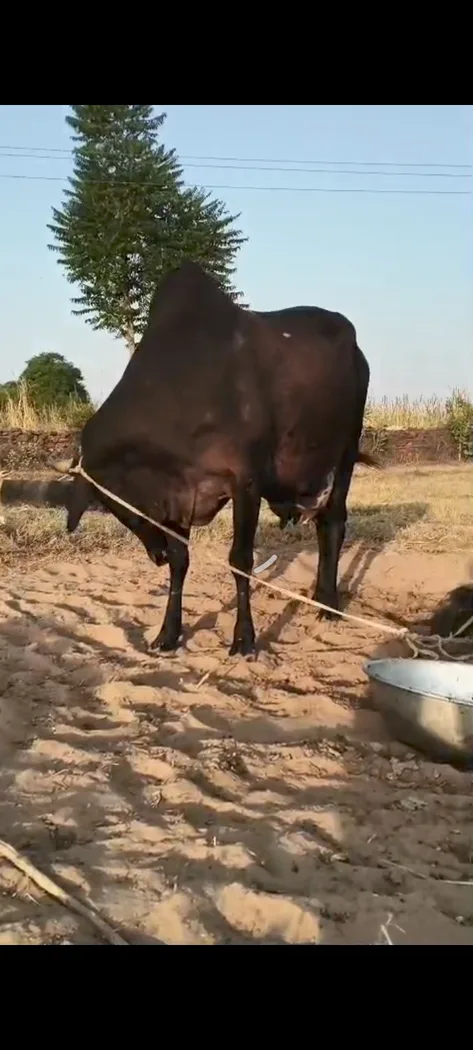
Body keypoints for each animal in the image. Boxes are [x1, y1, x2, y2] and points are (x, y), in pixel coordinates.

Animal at [0, 261, 377, 658]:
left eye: (117, 505)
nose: (156, 555)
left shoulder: (245, 481)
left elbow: (240, 560)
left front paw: (244, 638)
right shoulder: (178, 497)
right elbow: (181, 562)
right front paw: (168, 633)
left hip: (345, 453)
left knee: (333, 522)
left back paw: (327, 602)